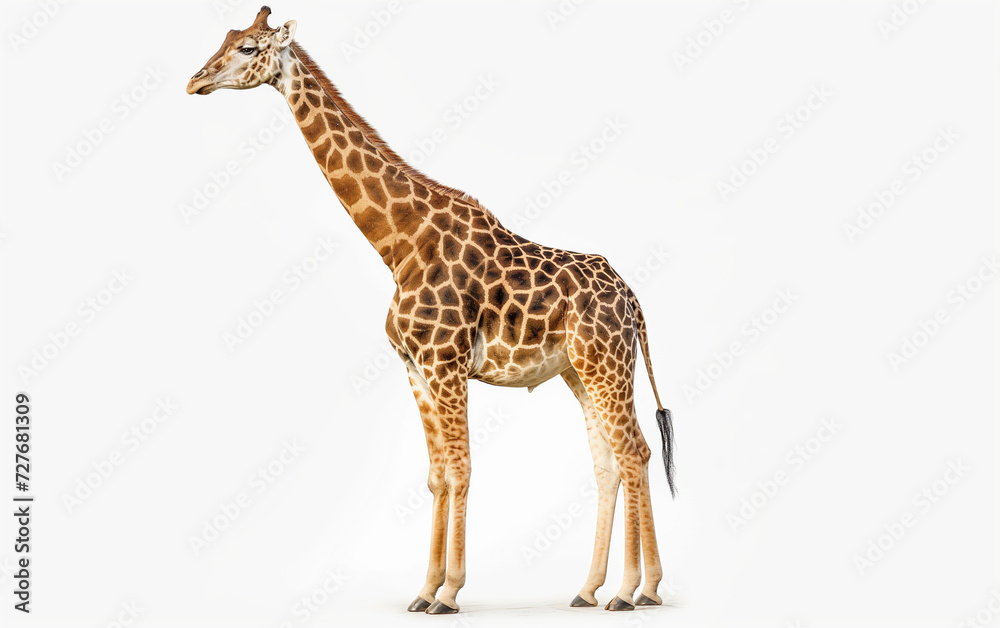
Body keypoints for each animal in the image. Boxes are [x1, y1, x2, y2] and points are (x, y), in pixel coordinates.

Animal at [187, 7, 677, 614]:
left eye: (249, 48)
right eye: (226, 39)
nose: (195, 81)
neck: (398, 244)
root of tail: (633, 300)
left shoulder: (447, 364)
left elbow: (462, 469)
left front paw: (450, 591)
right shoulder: (415, 368)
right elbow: (437, 476)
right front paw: (423, 591)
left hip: (607, 363)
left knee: (635, 450)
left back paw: (637, 590)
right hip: (579, 371)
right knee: (609, 463)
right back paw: (591, 589)